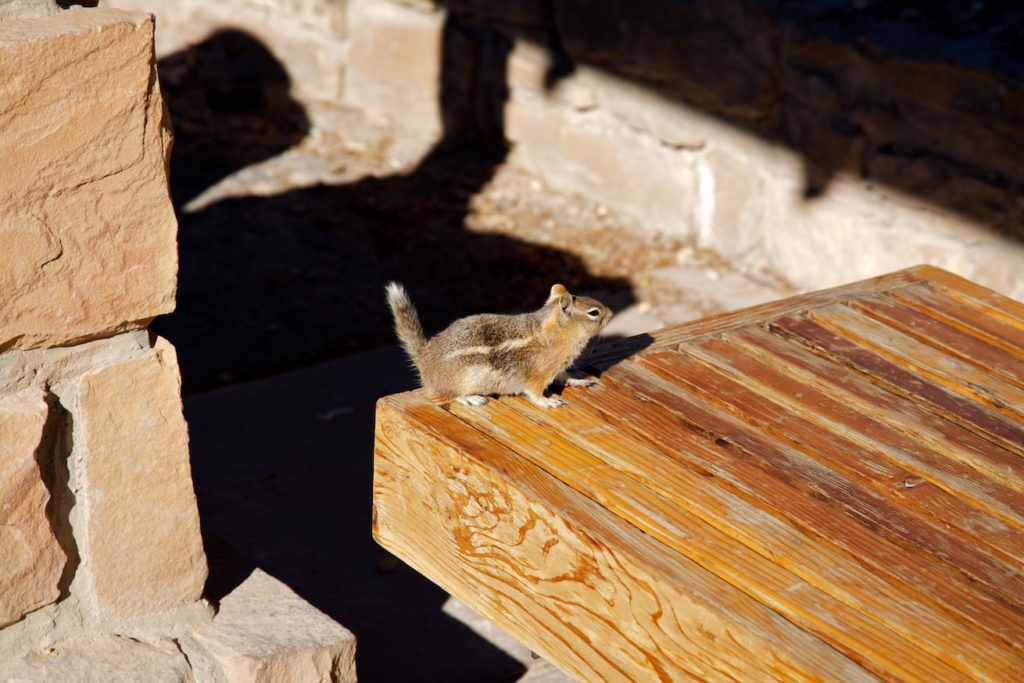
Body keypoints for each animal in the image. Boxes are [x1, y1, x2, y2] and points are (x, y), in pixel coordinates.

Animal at [385, 282, 606, 405]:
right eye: (594, 312)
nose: (610, 312)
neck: (556, 334)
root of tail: (424, 358)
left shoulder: (557, 367)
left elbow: (563, 377)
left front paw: (579, 380)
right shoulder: (539, 373)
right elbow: (534, 392)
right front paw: (548, 401)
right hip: (463, 380)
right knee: (450, 394)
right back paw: (470, 398)